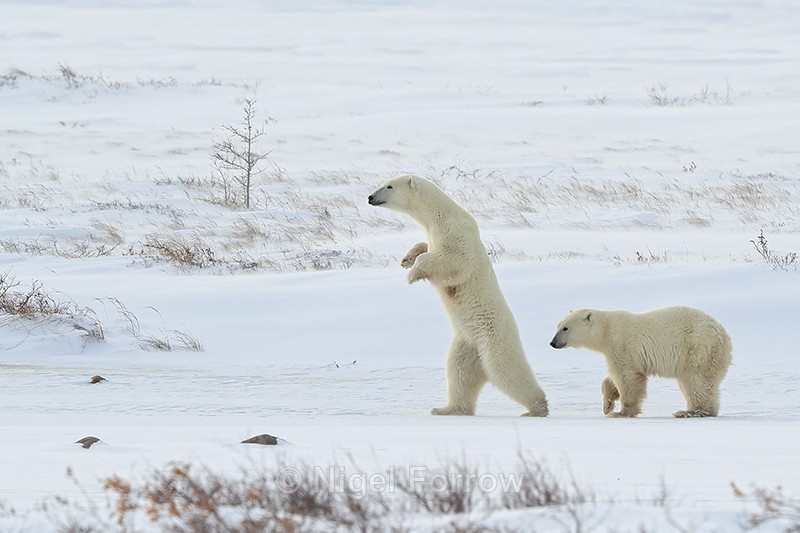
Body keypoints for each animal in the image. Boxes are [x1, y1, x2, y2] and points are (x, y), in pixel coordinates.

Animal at [368, 174, 548, 417]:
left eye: (389, 186)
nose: (370, 197)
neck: (440, 215)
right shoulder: (434, 234)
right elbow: (425, 247)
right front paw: (407, 259)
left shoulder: (457, 233)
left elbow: (454, 260)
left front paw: (413, 274)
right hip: (466, 343)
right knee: (458, 372)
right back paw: (447, 409)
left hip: (493, 337)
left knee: (506, 371)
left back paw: (536, 408)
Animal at [549, 306, 732, 418]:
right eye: (557, 326)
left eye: (565, 328)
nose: (552, 343)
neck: (606, 330)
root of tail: (724, 336)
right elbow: (612, 379)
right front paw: (607, 405)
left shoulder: (621, 345)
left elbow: (627, 377)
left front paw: (622, 412)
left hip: (698, 349)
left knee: (696, 381)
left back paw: (690, 412)